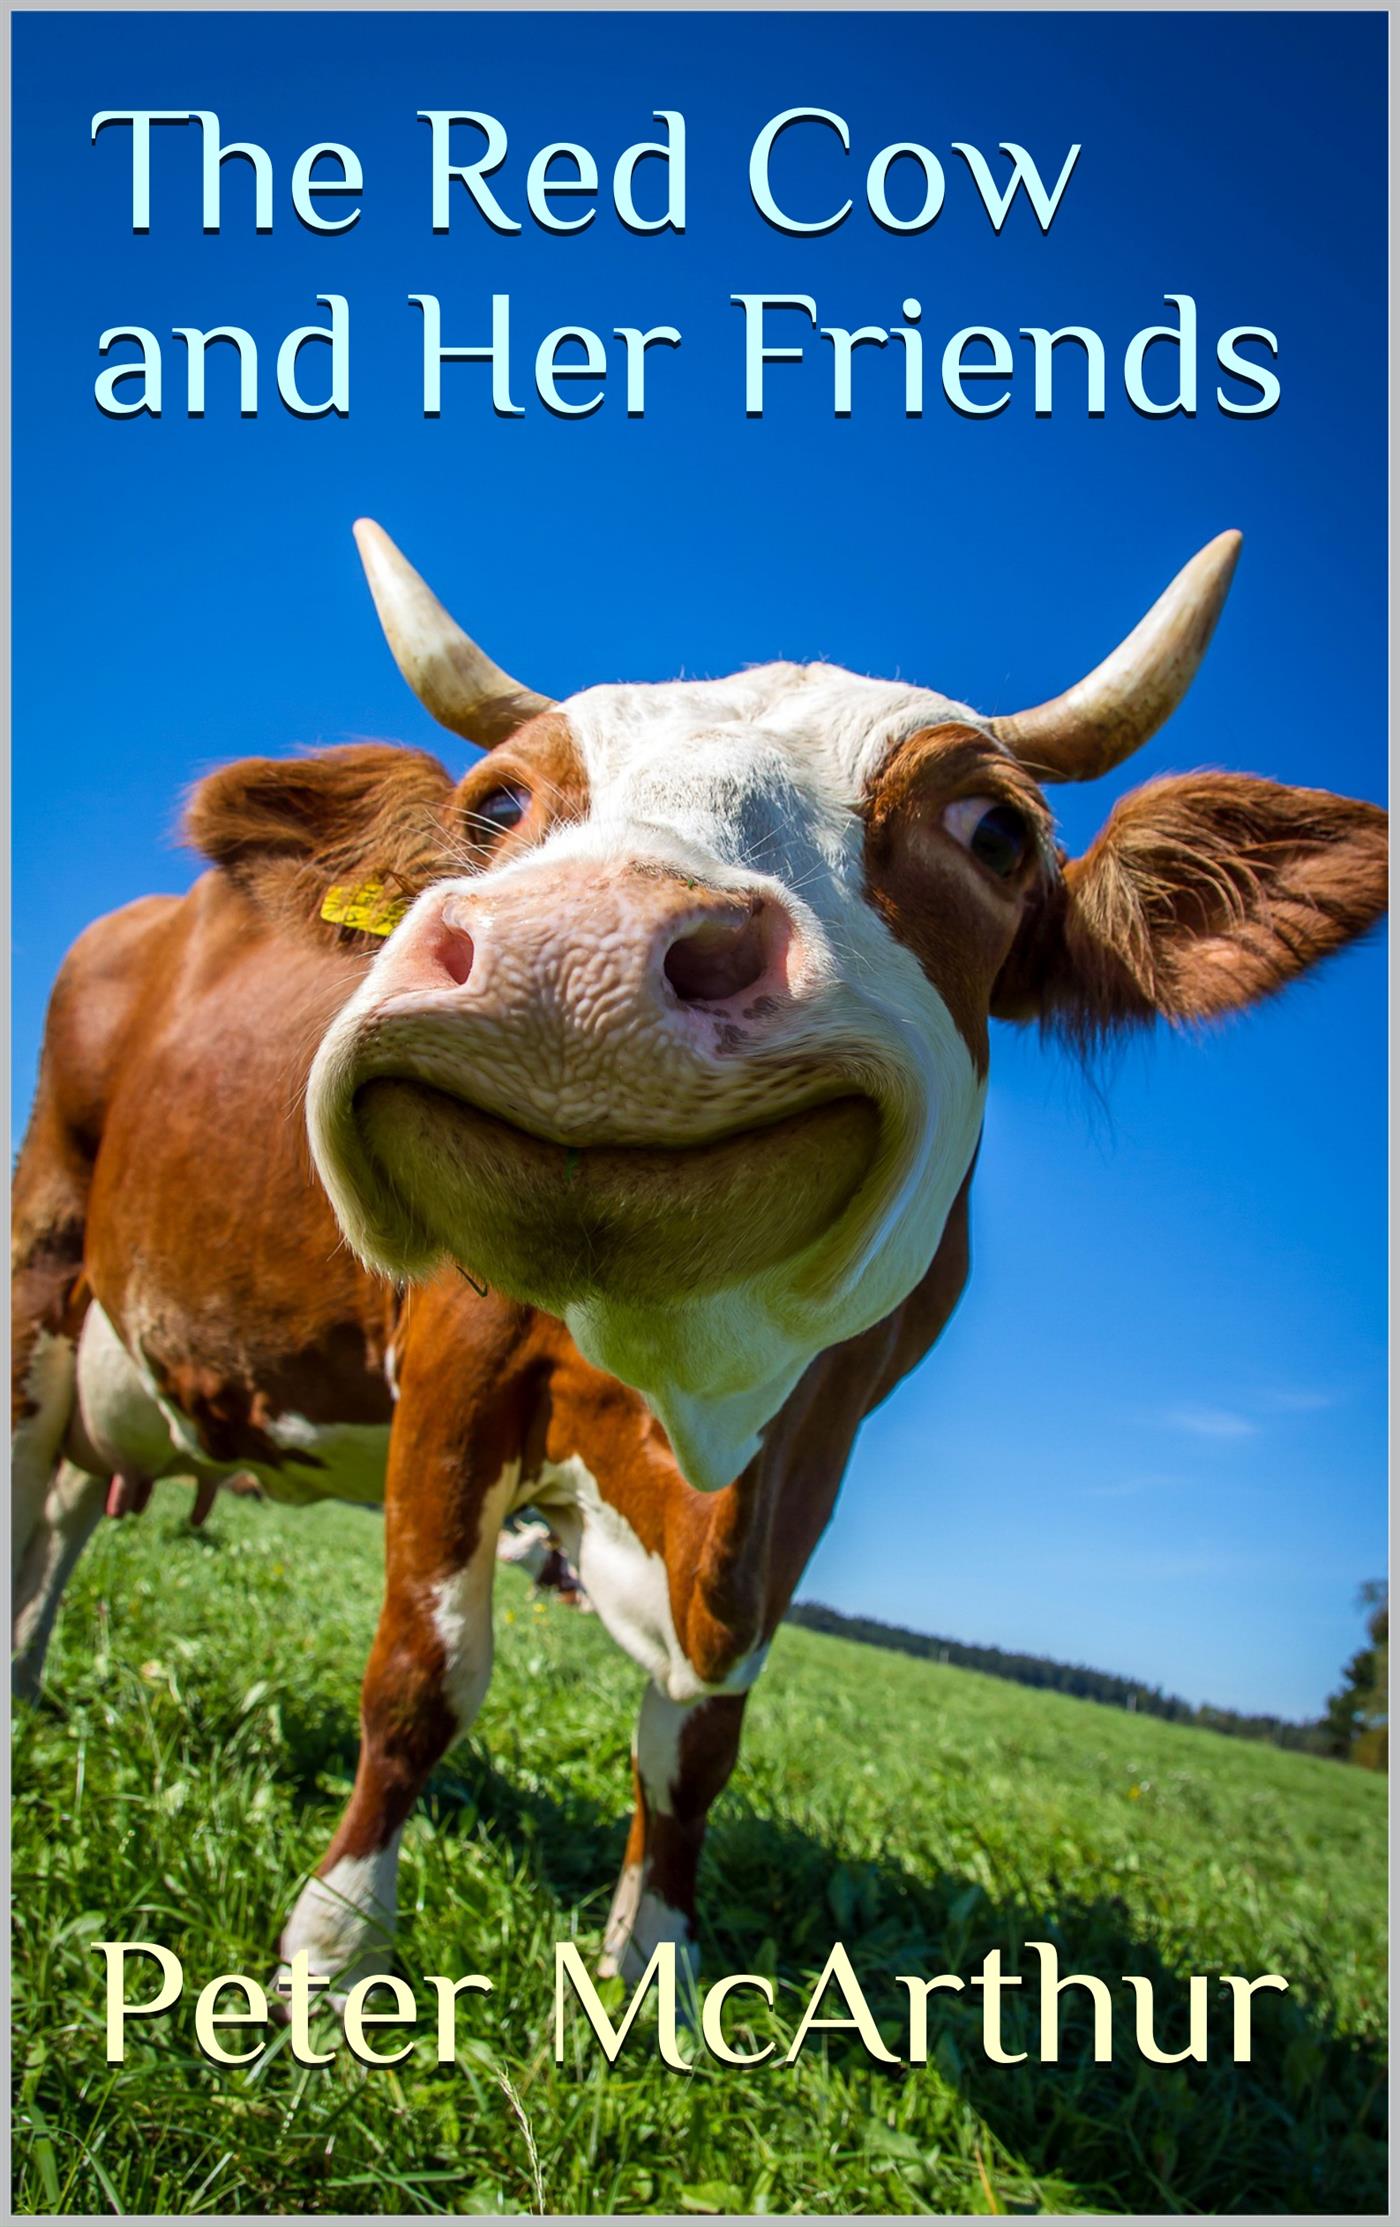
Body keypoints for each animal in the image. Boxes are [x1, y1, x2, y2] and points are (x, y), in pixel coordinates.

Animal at [12, 522, 1386, 1999]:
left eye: (996, 831)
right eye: (495, 808)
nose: (576, 951)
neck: (694, 1398)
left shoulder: (812, 1458)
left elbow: (696, 1741)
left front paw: (655, 1961)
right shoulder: (454, 1368)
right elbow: (424, 1672)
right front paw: (334, 1941)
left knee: (67, 1510)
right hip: (43, 1262)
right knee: (34, 1483)